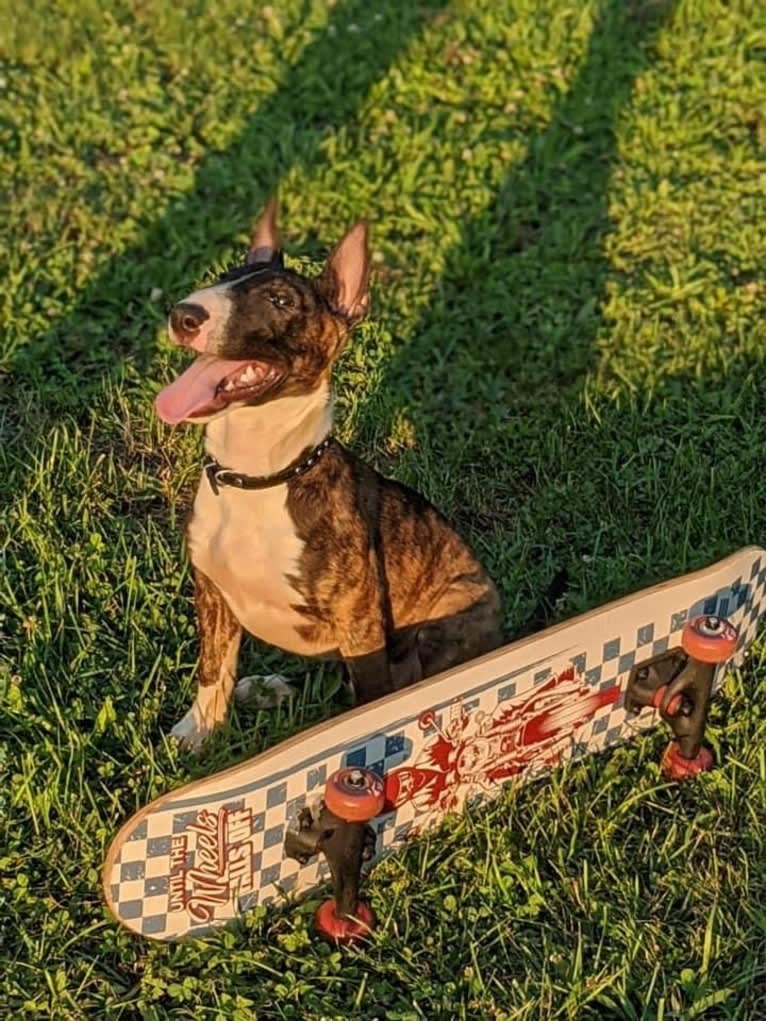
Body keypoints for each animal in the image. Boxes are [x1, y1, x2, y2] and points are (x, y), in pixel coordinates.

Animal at [155, 199, 504, 747]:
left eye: (280, 300)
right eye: (225, 277)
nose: (184, 315)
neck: (259, 477)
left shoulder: (358, 621)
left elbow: (369, 698)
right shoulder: (211, 591)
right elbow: (213, 668)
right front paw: (198, 732)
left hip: (445, 614)